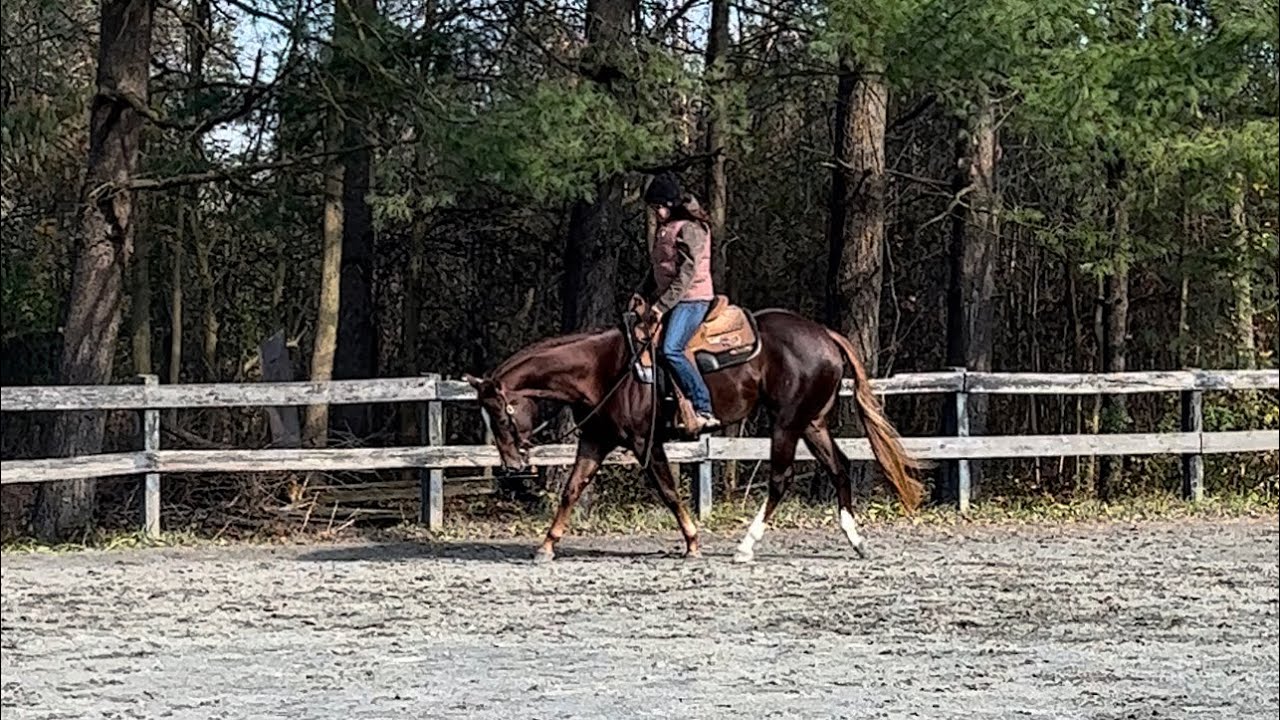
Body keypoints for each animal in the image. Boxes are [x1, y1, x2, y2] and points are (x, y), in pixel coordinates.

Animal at [462, 303, 926, 563]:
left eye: (499, 415)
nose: (512, 466)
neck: (604, 368)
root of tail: (824, 334)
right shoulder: (596, 439)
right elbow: (572, 490)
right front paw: (546, 546)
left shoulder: (644, 442)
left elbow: (668, 490)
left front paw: (692, 542)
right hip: (812, 423)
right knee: (839, 467)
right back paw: (856, 540)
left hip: (787, 423)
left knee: (780, 479)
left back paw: (745, 547)